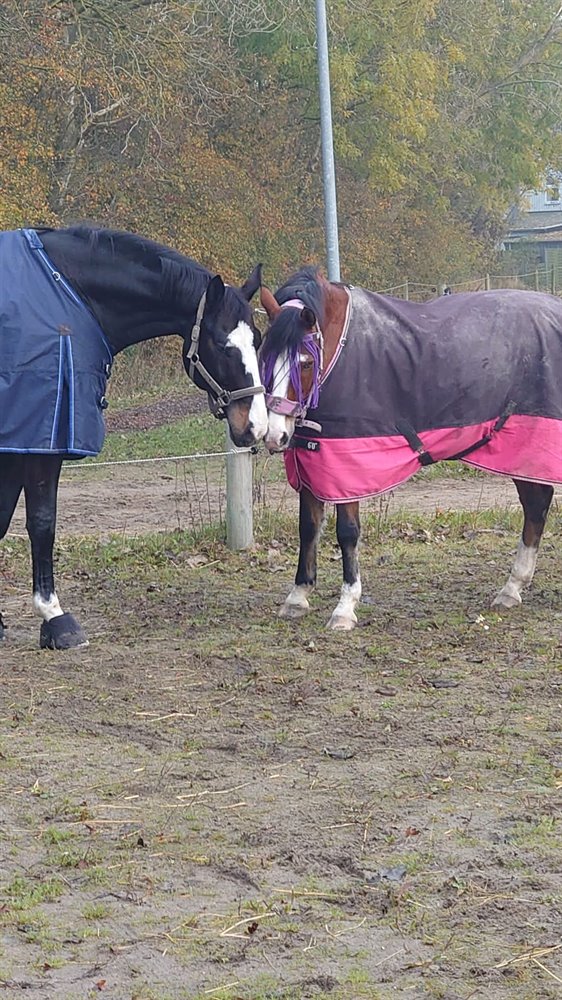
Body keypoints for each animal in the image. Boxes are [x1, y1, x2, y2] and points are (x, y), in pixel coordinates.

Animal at [0, 225, 268, 649]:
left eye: (256, 339)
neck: (69, 294)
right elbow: (42, 522)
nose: (255, 426)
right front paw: (55, 618)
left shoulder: (17, 440)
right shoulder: (41, 438)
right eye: (223, 345)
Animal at [259, 267, 562, 630]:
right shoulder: (312, 460)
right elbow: (308, 527)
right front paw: (298, 597)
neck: (343, 353)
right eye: (264, 356)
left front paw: (345, 608)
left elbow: (347, 534)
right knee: (536, 506)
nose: (275, 435)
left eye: (305, 362)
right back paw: (511, 589)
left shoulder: (347, 467)